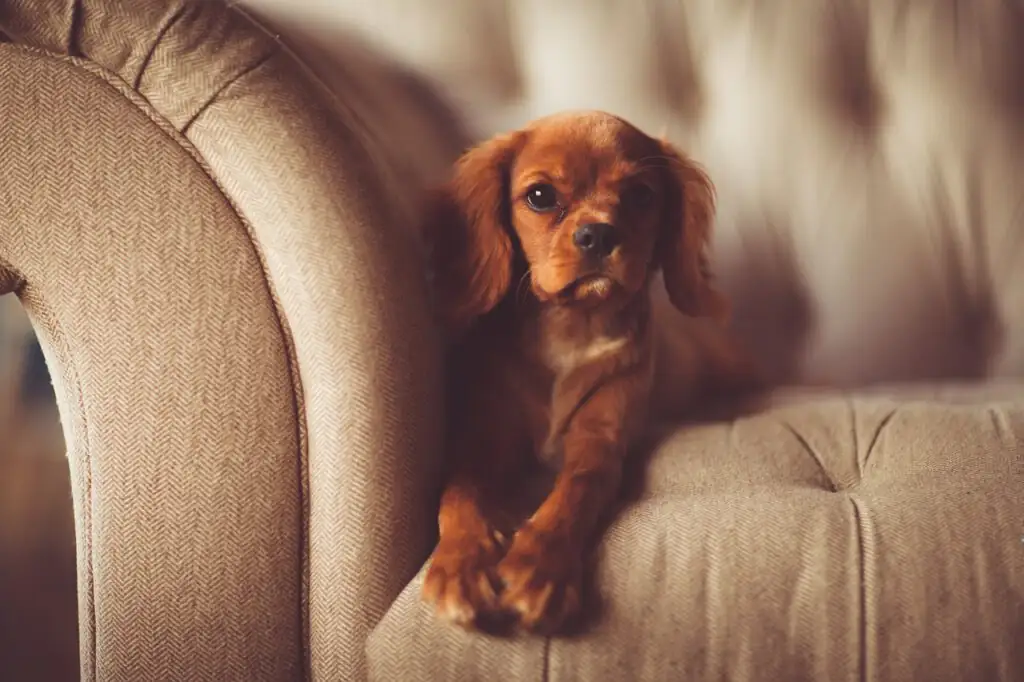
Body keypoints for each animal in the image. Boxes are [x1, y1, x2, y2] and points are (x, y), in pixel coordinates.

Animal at [419, 110, 757, 630]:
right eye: (540, 196)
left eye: (641, 195)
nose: (598, 234)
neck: (573, 327)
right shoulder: (485, 439)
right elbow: (458, 493)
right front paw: (460, 563)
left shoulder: (600, 440)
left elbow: (574, 493)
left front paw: (538, 566)